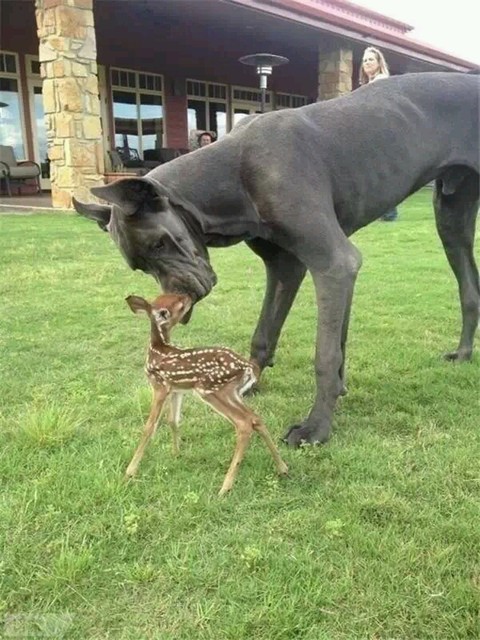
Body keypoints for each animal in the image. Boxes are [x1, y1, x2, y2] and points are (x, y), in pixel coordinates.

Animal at [73, 71, 478, 444]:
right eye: (139, 265)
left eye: (160, 244)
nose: (174, 305)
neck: (233, 172)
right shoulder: (287, 267)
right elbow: (267, 333)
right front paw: (250, 383)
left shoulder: (334, 263)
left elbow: (325, 354)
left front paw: (316, 427)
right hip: (451, 217)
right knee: (469, 290)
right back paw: (462, 354)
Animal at [125, 292, 286, 498]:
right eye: (176, 302)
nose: (187, 296)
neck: (157, 350)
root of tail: (248, 367)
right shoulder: (176, 388)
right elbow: (173, 420)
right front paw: (176, 453)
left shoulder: (159, 385)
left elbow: (149, 426)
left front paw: (130, 470)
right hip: (231, 392)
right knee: (255, 417)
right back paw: (282, 468)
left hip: (211, 389)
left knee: (243, 423)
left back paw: (225, 487)